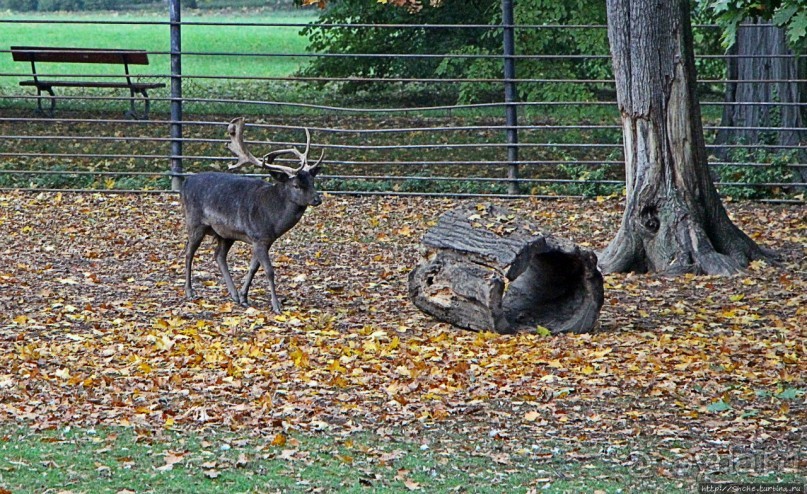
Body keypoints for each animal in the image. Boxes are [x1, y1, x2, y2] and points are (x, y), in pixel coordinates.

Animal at [181, 118, 324, 312]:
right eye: (295, 185)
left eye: (312, 180)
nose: (317, 199)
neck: (273, 220)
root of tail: (185, 182)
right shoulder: (258, 236)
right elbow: (269, 270)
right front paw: (276, 305)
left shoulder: (264, 240)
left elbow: (253, 267)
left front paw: (244, 297)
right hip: (195, 221)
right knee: (189, 251)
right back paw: (190, 292)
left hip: (225, 233)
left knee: (218, 255)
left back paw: (233, 295)